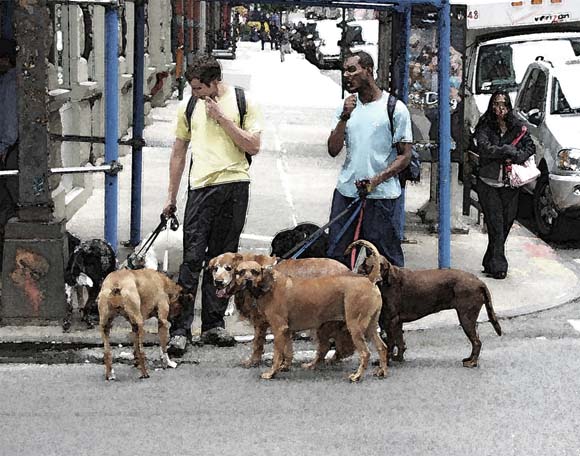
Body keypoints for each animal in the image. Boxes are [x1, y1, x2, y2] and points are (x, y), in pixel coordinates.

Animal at [208, 255, 354, 368]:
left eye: (228, 268)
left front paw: (253, 361)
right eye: (215, 269)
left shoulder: (260, 321)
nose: (218, 282)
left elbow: (257, 344)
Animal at [233, 249, 388, 382]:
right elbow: (288, 352)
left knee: (364, 353)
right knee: (382, 347)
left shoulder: (278, 329)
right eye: (241, 272)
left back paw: (357, 376)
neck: (271, 285)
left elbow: (276, 354)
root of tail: (368, 279)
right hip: (370, 327)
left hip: (355, 327)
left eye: (255, 272)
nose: (247, 280)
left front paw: (271, 373)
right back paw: (382, 371)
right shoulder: (286, 331)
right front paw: (285, 367)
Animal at [354, 239, 502, 366]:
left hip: (466, 318)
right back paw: (469, 359)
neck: (385, 283)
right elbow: (400, 342)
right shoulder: (397, 321)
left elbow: (390, 344)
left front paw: (386, 361)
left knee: (477, 342)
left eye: (378, 267)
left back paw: (472, 362)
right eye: (368, 265)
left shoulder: (391, 320)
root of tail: (479, 282)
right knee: (476, 340)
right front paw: (398, 358)